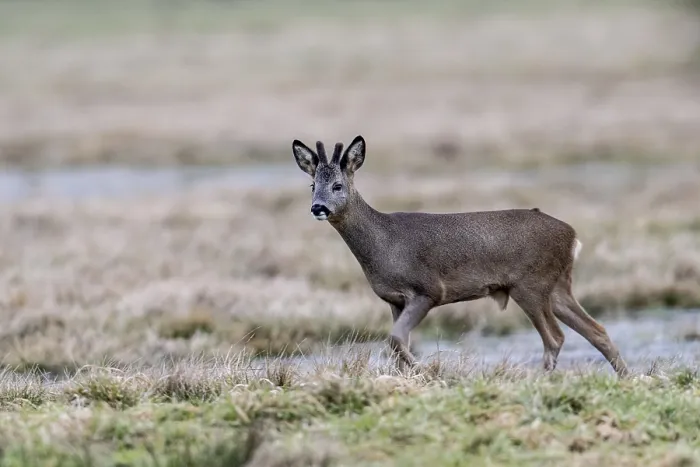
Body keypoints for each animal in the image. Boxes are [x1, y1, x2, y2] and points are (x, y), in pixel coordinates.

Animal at [291, 135, 629, 378]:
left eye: (337, 185)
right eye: (312, 184)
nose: (318, 207)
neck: (383, 243)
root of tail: (572, 235)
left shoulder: (427, 289)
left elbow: (396, 340)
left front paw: (427, 372)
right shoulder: (394, 300)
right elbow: (398, 344)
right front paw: (407, 379)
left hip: (530, 284)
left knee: (555, 338)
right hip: (557, 286)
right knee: (597, 330)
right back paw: (627, 379)